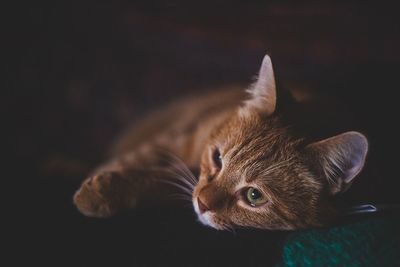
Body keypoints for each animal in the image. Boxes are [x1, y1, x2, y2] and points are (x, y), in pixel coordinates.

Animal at [72, 55, 368, 231]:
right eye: (217, 158)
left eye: (254, 196)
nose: (201, 204)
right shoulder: (176, 139)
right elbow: (141, 160)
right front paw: (99, 186)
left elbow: (159, 180)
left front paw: (103, 192)